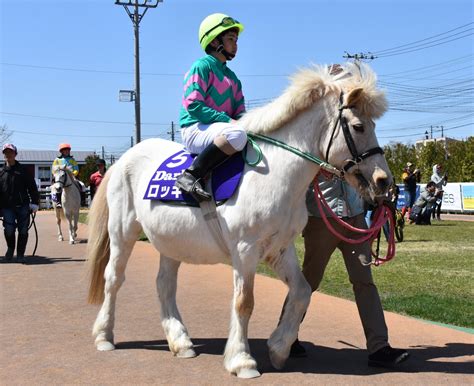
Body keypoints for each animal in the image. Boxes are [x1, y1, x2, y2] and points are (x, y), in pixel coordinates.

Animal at [87, 62, 390, 376]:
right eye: (359, 126)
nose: (384, 181)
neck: (275, 172)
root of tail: (122, 160)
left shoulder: (281, 248)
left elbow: (302, 292)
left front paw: (279, 348)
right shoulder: (245, 249)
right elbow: (244, 303)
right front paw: (242, 360)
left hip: (171, 241)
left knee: (164, 285)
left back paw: (181, 342)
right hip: (123, 233)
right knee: (113, 278)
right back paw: (104, 336)